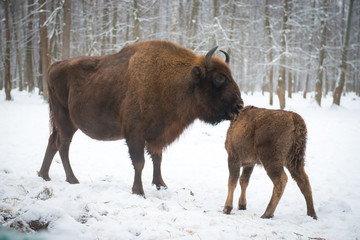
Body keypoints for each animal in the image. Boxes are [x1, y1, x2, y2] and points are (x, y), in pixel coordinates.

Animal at [38, 40, 243, 196]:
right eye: (219, 78)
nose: (239, 106)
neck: (175, 81)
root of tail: (54, 66)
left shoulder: (157, 135)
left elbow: (157, 159)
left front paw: (161, 185)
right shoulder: (135, 134)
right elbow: (139, 162)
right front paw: (139, 191)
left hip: (63, 122)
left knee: (52, 142)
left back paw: (44, 175)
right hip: (65, 120)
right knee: (63, 146)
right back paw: (72, 179)